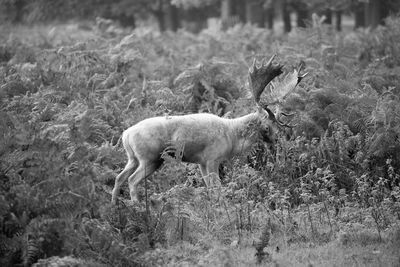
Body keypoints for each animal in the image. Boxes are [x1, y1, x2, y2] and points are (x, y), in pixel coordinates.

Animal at [111, 55, 308, 205]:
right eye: (267, 126)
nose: (277, 141)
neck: (231, 136)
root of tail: (126, 135)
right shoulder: (212, 157)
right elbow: (217, 187)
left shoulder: (201, 162)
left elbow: (209, 187)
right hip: (149, 157)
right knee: (131, 180)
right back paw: (138, 207)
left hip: (134, 158)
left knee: (119, 177)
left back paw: (115, 206)